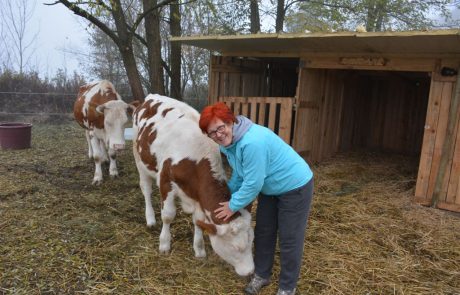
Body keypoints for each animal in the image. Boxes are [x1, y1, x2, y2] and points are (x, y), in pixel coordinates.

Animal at [133, 95, 255, 278]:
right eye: (236, 247)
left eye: (252, 240)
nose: (251, 272)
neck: (195, 155)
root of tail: (150, 97)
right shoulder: (165, 180)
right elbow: (167, 215)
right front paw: (164, 244)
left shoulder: (198, 194)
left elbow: (198, 221)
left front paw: (199, 250)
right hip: (139, 159)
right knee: (146, 189)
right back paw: (150, 219)